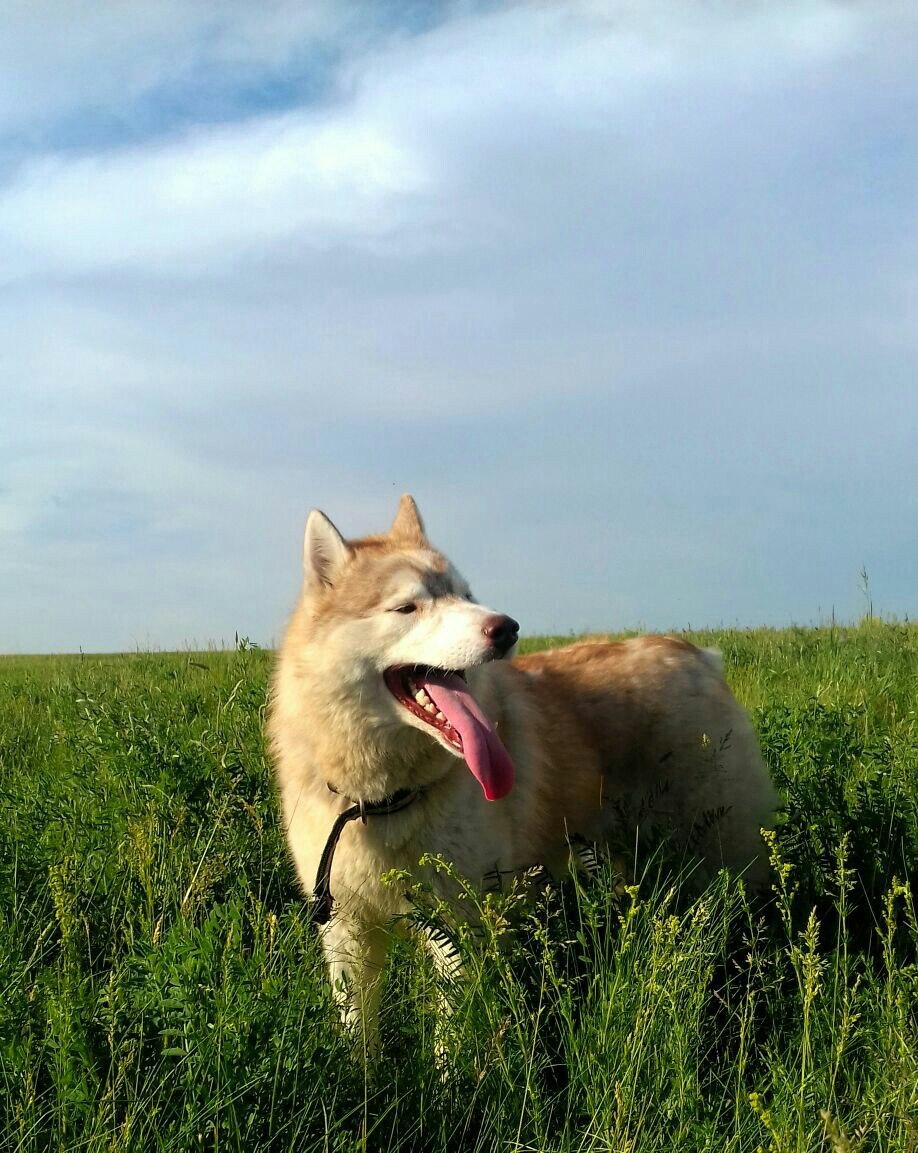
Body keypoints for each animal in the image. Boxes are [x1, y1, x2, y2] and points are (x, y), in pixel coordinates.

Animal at [268, 495, 779, 1056]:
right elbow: (359, 1035)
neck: (383, 798)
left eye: (466, 595)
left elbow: (454, 1040)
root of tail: (697, 657)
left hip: (724, 853)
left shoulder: (463, 927)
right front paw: (365, 1075)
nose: (506, 627)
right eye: (407, 608)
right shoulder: (347, 931)